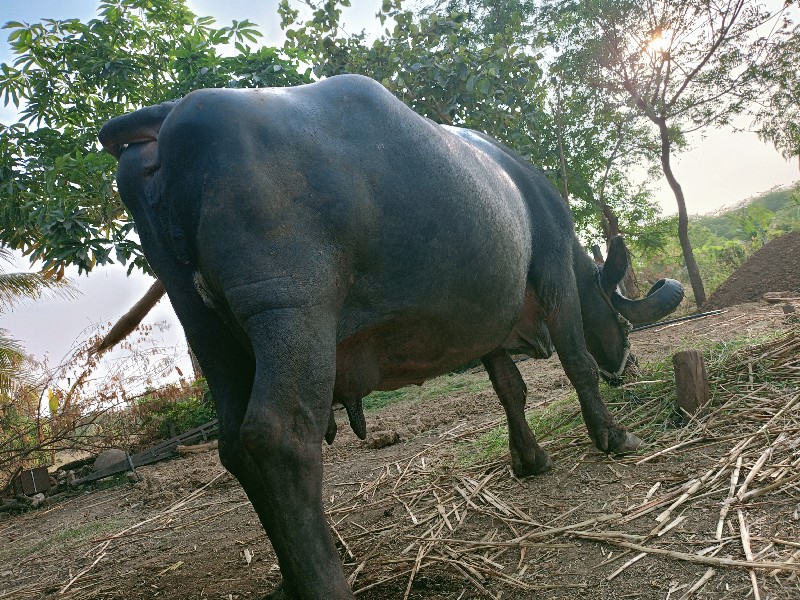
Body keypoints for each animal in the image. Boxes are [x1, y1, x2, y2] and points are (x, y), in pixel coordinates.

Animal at [98, 75, 680, 600]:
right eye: (624, 323)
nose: (630, 367)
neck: (518, 187)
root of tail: (168, 122)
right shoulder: (554, 265)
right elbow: (577, 362)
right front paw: (615, 436)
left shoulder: (486, 322)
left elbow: (509, 389)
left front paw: (530, 459)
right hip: (293, 317)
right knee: (277, 437)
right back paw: (326, 583)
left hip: (209, 335)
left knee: (234, 447)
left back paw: (292, 578)